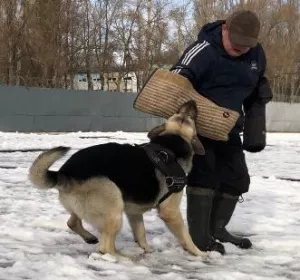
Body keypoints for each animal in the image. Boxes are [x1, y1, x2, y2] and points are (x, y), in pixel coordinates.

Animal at [28, 100, 206, 258]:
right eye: (188, 116)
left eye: (182, 114)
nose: (192, 101)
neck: (174, 140)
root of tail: (63, 173)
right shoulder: (170, 211)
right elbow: (186, 236)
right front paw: (199, 253)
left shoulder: (134, 212)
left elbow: (141, 233)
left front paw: (147, 249)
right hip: (114, 208)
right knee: (105, 249)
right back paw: (123, 257)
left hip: (90, 208)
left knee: (73, 223)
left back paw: (90, 238)